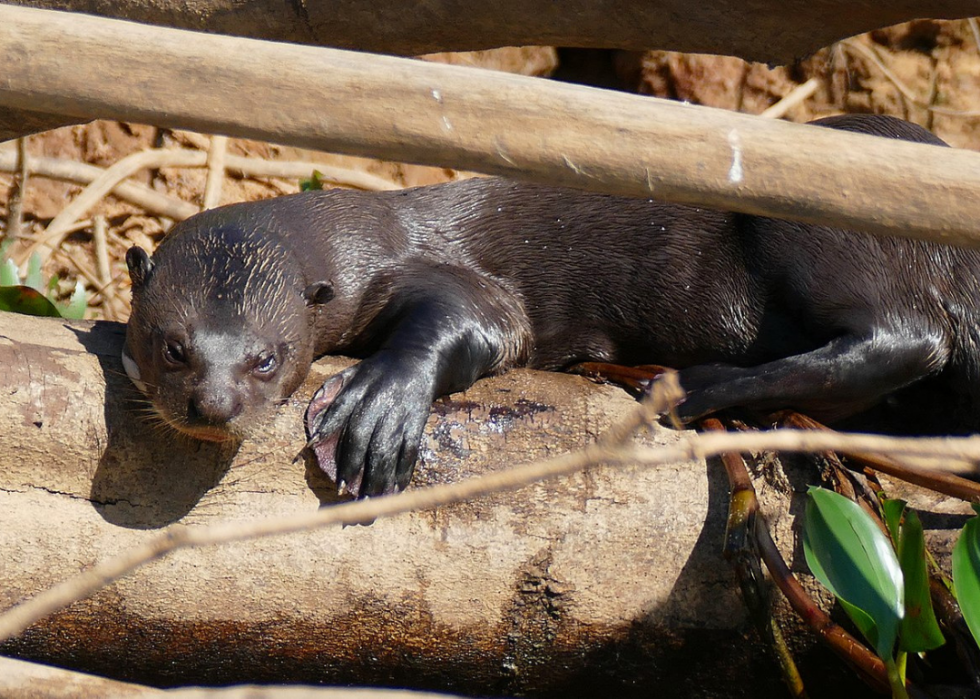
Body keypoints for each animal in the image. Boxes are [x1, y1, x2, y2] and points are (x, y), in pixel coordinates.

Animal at [120, 113, 964, 498]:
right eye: (174, 345)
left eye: (268, 358)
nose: (213, 404)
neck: (359, 235)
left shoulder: (439, 272)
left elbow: (489, 318)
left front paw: (377, 406)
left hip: (825, 224)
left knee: (913, 336)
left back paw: (697, 386)